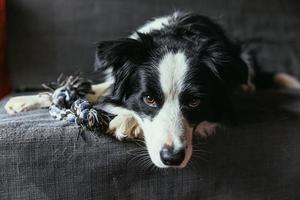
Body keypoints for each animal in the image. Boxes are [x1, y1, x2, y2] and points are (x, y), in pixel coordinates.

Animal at [4, 11, 300, 168]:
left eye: (195, 102)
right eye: (148, 98)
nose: (172, 159)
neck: (177, 35)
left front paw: (127, 121)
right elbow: (95, 91)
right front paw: (26, 101)